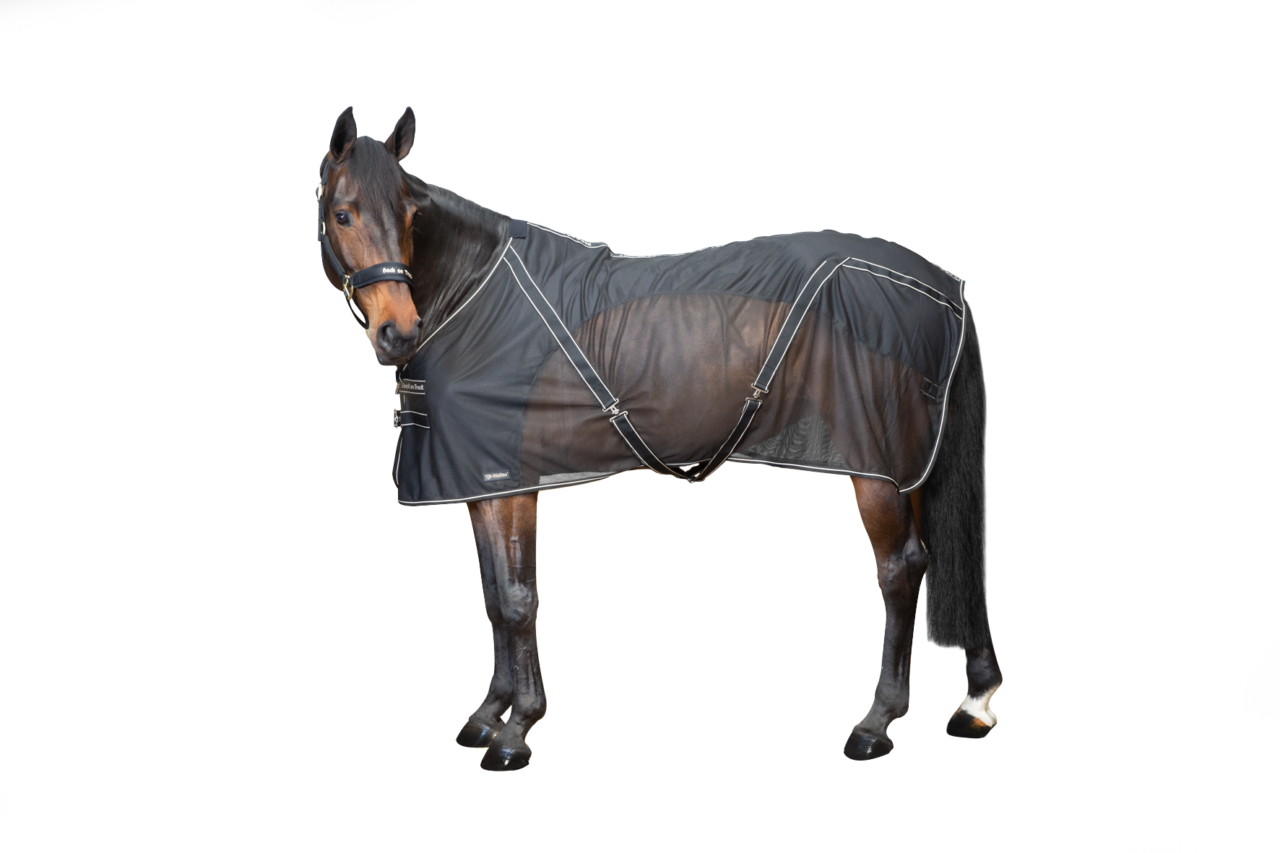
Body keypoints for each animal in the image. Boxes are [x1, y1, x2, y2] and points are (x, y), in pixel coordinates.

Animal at [314, 104, 1002, 772]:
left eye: (410, 214)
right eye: (342, 213)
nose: (399, 332)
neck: (475, 294)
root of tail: (943, 285)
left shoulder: (511, 483)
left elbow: (516, 599)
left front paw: (517, 731)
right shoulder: (485, 484)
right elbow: (492, 595)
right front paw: (488, 715)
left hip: (876, 468)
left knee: (900, 569)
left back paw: (876, 722)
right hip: (911, 465)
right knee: (942, 555)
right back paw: (974, 702)